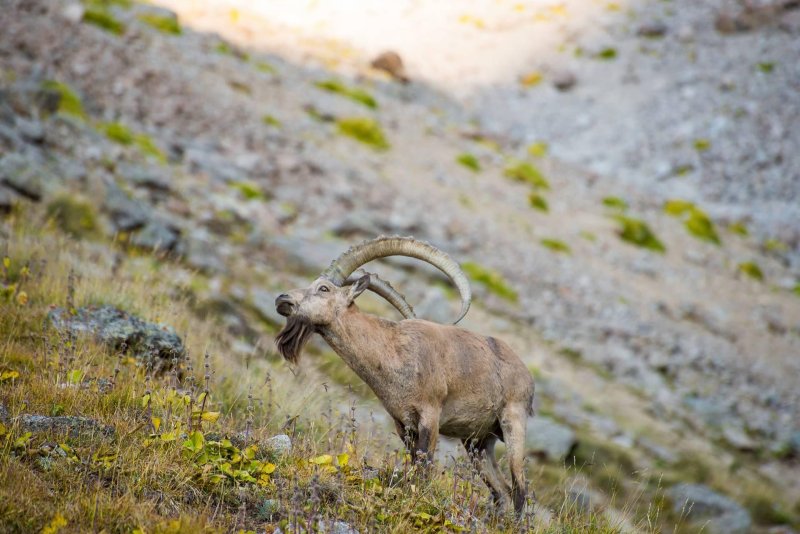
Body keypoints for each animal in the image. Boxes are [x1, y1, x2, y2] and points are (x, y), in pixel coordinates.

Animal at [276, 237, 536, 512]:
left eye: (323, 288)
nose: (282, 298)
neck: (393, 351)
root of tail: (527, 375)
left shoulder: (430, 416)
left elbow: (424, 469)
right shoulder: (403, 424)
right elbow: (414, 467)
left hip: (513, 421)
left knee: (519, 489)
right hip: (478, 442)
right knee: (502, 491)